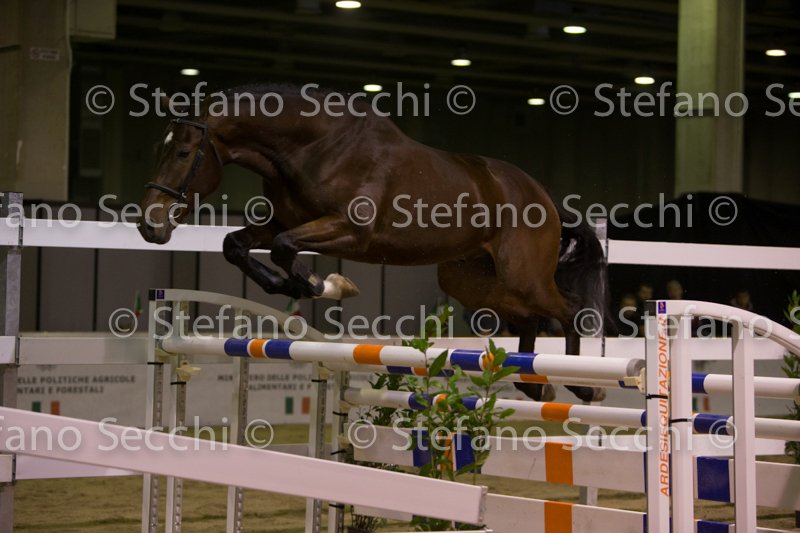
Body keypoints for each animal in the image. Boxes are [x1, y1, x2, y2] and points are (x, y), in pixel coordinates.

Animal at [137, 84, 608, 403]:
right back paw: (536, 387)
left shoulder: (348, 230)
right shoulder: (284, 221)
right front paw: (302, 285)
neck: (314, 148)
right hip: (474, 282)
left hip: (522, 277)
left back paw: (583, 388)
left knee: (567, 310)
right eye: (159, 149)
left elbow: (285, 249)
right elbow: (236, 245)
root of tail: (543, 197)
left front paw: (323, 285)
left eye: (183, 154)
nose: (149, 227)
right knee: (529, 318)